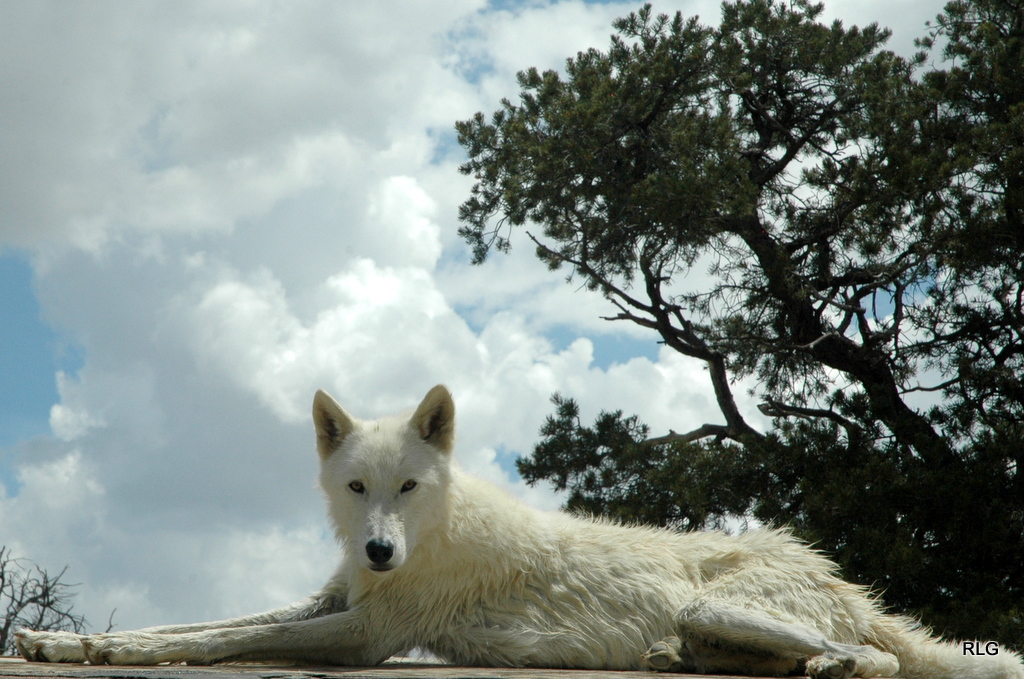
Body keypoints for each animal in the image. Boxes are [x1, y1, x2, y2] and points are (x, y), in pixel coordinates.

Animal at [16, 385, 1024, 678]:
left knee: (871, 657)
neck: (425, 537)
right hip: (716, 618)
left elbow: (226, 638)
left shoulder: (368, 633)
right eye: (358, 487)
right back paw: (676, 658)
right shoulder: (336, 597)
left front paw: (92, 649)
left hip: (722, 603)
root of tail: (835, 573)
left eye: (411, 486)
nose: (378, 550)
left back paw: (835, 663)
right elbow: (193, 624)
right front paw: (67, 642)